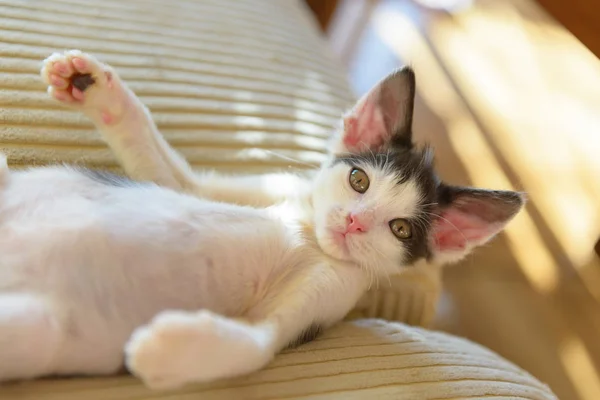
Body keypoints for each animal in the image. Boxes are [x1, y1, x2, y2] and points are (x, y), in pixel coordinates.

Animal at [0, 50, 524, 390]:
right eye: (358, 180)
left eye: (399, 229)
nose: (354, 222)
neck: (308, 232)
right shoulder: (255, 188)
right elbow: (166, 169)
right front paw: (96, 88)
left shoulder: (328, 299)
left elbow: (257, 343)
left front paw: (163, 348)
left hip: (38, 329)